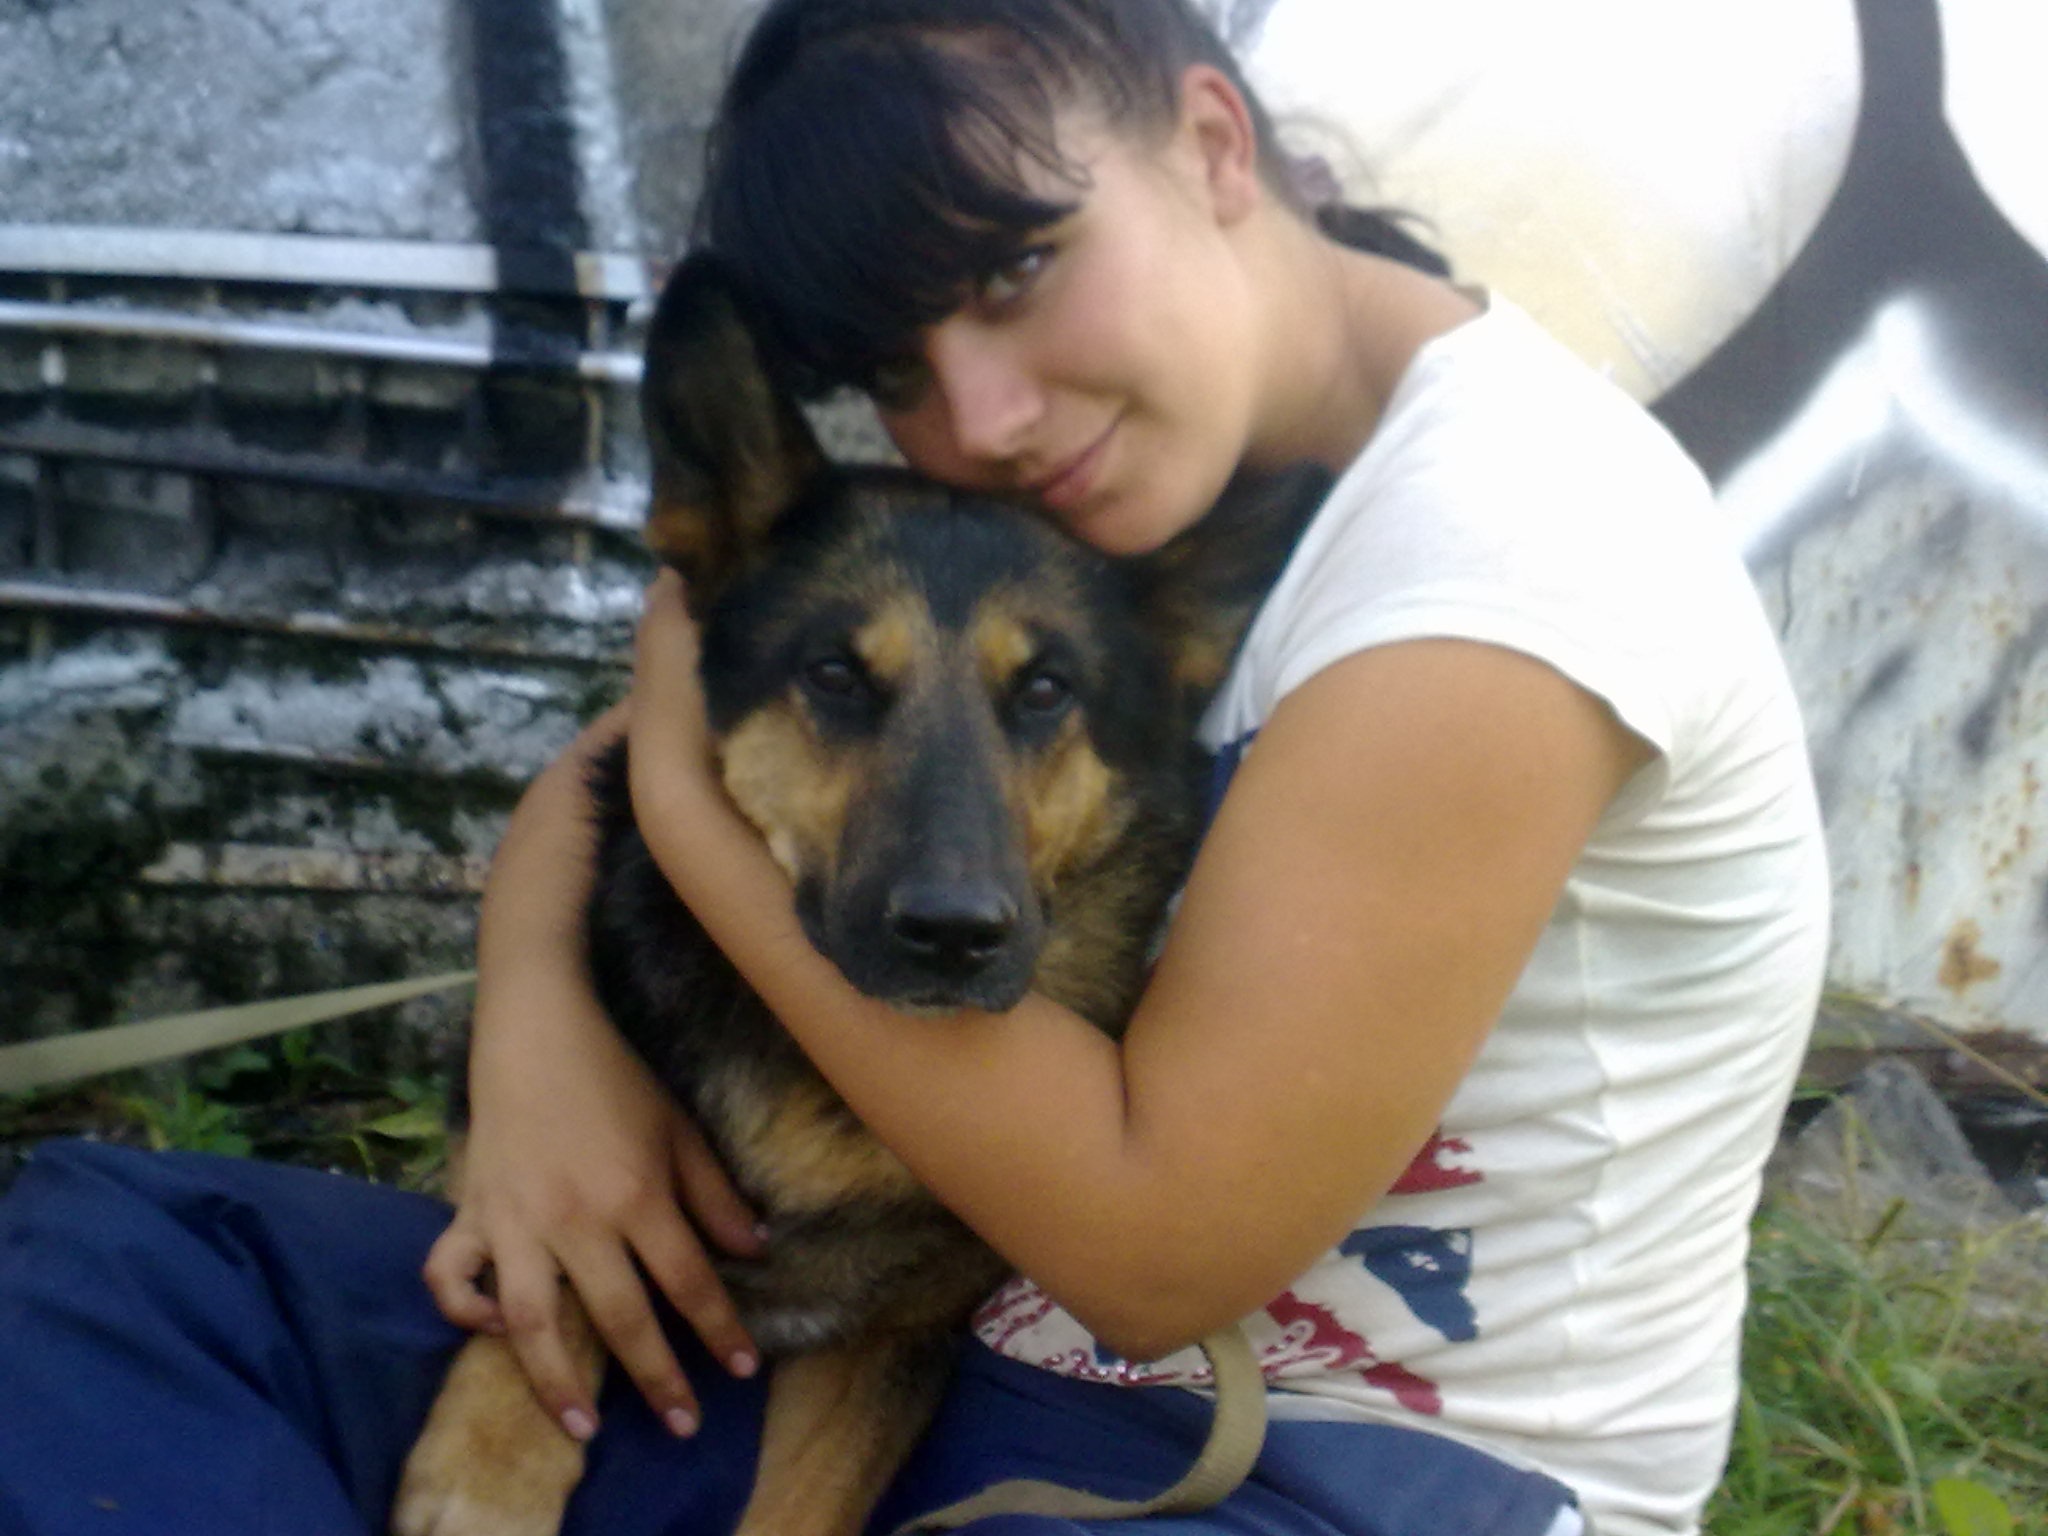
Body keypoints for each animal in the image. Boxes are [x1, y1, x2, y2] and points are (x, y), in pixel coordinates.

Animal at [391, 254, 1325, 1536]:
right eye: (833, 673)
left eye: (1045, 689)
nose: (951, 936)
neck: (811, 1081)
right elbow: (557, 1263)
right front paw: (493, 1461)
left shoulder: (884, 1345)